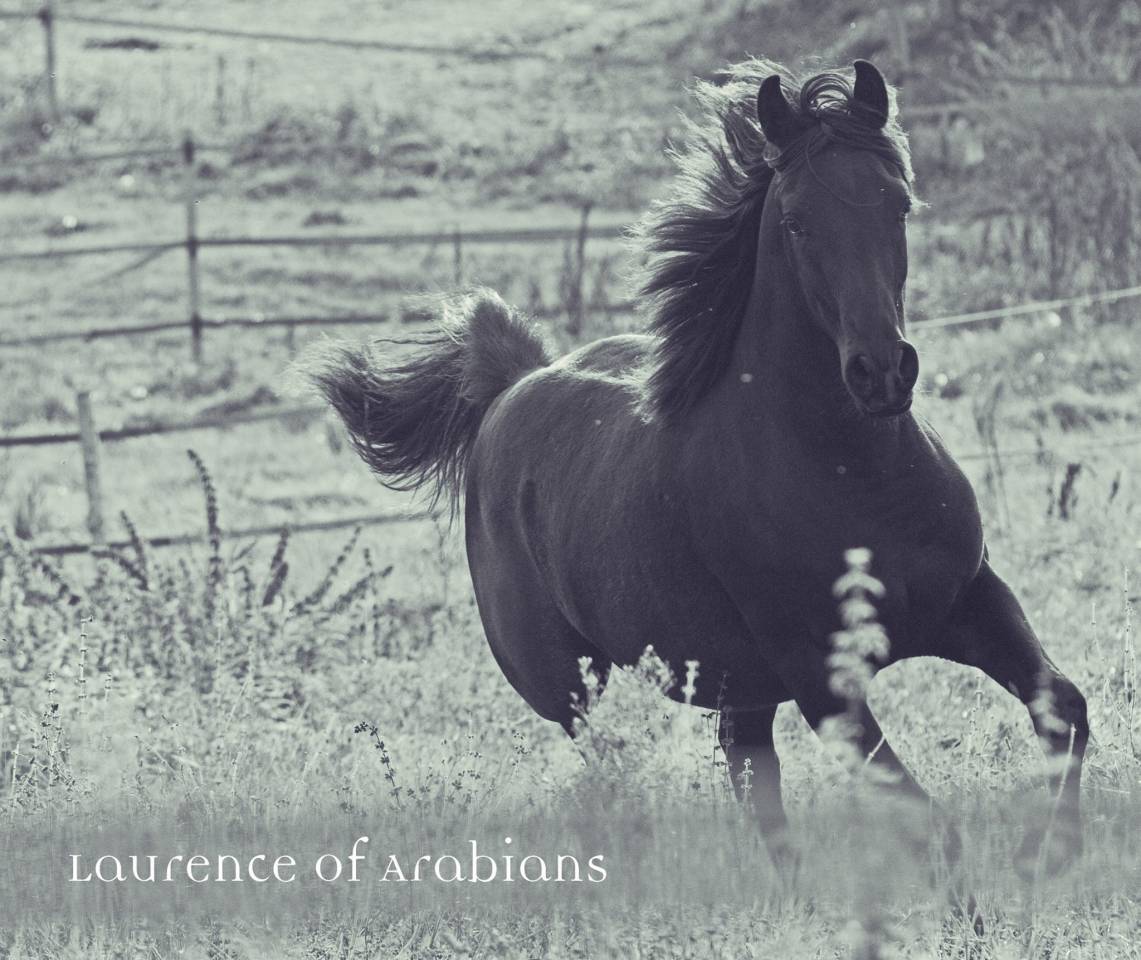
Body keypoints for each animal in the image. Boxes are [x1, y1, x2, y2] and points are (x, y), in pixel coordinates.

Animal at [308, 59, 1087, 870]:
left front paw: (1049, 854)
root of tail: (508, 387)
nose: (880, 373)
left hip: (741, 686)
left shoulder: (972, 602)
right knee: (616, 773)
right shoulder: (820, 679)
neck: (854, 477)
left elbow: (1063, 709)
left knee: (752, 786)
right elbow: (929, 821)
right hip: (570, 687)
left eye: (897, 206)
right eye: (796, 223)